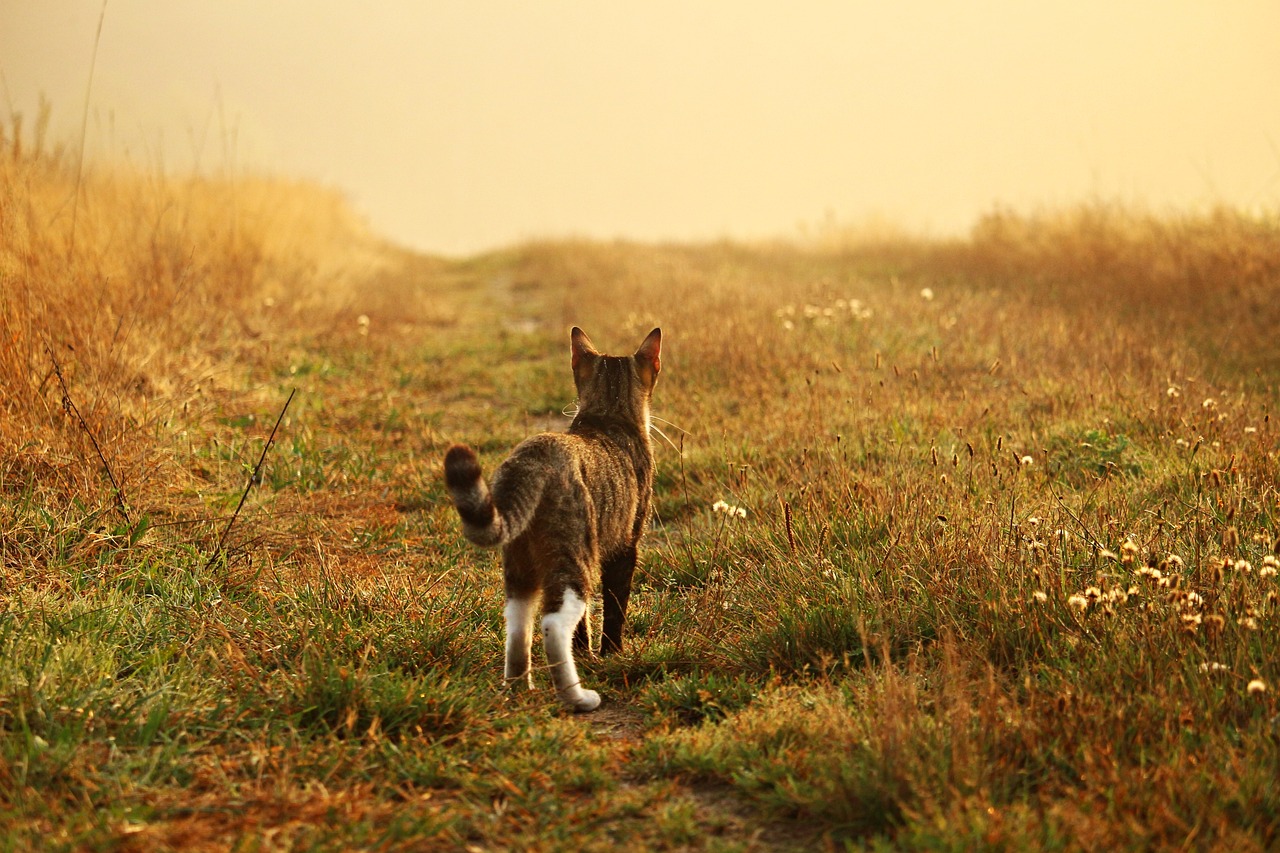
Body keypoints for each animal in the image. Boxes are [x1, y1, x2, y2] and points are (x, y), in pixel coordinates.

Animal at [442, 325, 660, 712]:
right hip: (574, 556)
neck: (608, 414)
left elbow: (584, 626)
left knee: (519, 625)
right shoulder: (625, 546)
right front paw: (612, 655)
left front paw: (586, 654)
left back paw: (518, 688)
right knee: (554, 624)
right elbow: (615, 608)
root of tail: (533, 457)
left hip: (521, 566)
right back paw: (577, 697)